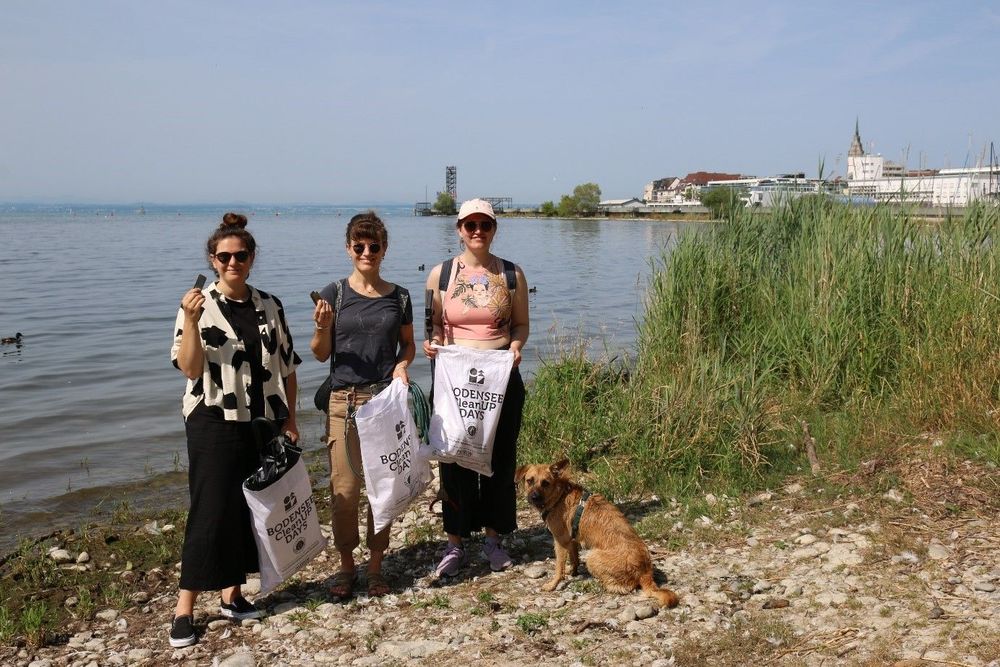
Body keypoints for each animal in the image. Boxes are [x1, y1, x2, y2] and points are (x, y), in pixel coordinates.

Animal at [516, 460, 680, 612]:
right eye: (529, 480)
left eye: (545, 483)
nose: (534, 497)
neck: (560, 495)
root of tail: (645, 571)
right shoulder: (572, 540)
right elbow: (574, 558)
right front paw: (573, 571)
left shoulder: (560, 541)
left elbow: (559, 568)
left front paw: (553, 584)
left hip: (592, 557)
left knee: (627, 587)